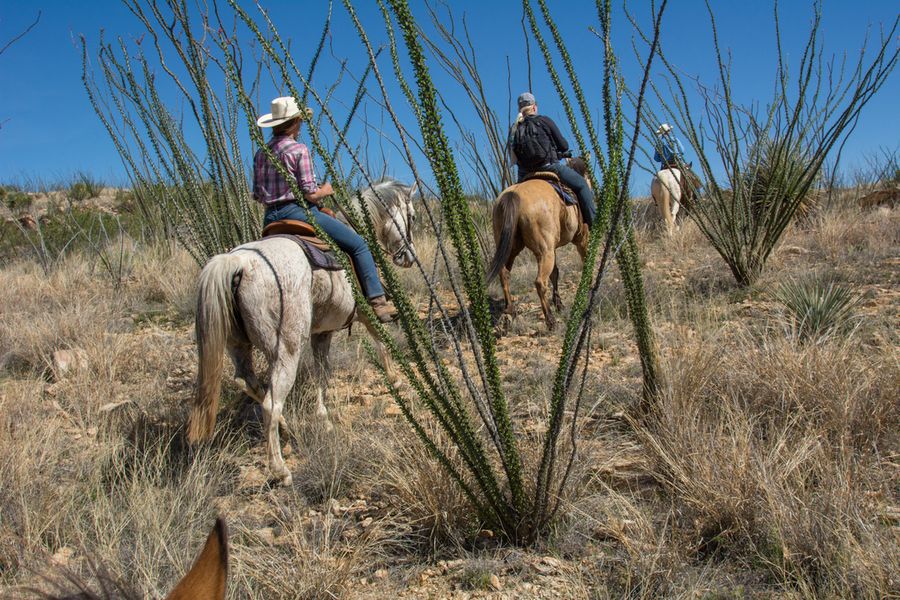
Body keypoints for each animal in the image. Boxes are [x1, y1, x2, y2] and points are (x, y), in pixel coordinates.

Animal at [486, 157, 592, 330]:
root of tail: (514, 194)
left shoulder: (553, 248)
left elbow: (555, 273)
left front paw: (559, 304)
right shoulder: (581, 239)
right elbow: (585, 262)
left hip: (514, 249)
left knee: (504, 274)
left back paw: (510, 311)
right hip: (544, 252)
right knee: (540, 282)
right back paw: (550, 320)